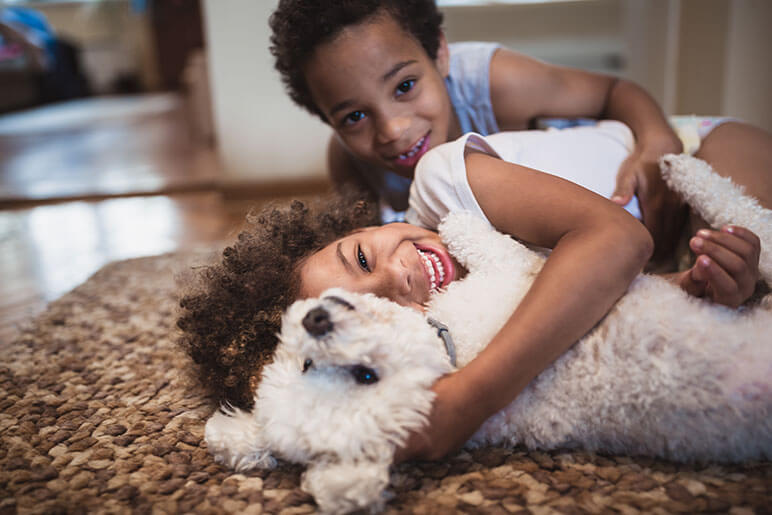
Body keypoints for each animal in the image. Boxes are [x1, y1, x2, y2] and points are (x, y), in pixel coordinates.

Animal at [205, 155, 772, 512]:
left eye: (309, 363)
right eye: (365, 376)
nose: (316, 320)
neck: (451, 347)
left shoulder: (514, 273)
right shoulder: (512, 273)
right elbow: (483, 239)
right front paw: (457, 217)